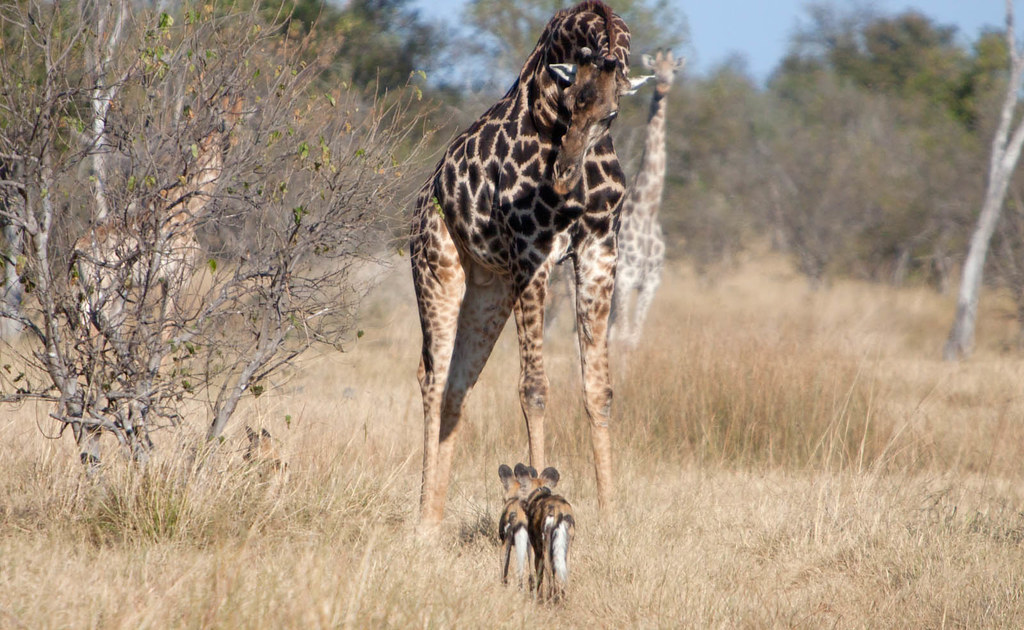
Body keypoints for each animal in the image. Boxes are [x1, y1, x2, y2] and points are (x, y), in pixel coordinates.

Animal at [410, 1, 651, 526]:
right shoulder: (531, 253)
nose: (562, 173)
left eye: (611, 113)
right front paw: (539, 497)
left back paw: (436, 513)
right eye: (569, 100)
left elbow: (598, 387)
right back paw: (423, 520)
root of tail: (421, 202)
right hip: (438, 270)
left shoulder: (600, 250)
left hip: (490, 290)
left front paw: (610, 513)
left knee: (458, 384)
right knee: (432, 378)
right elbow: (534, 388)